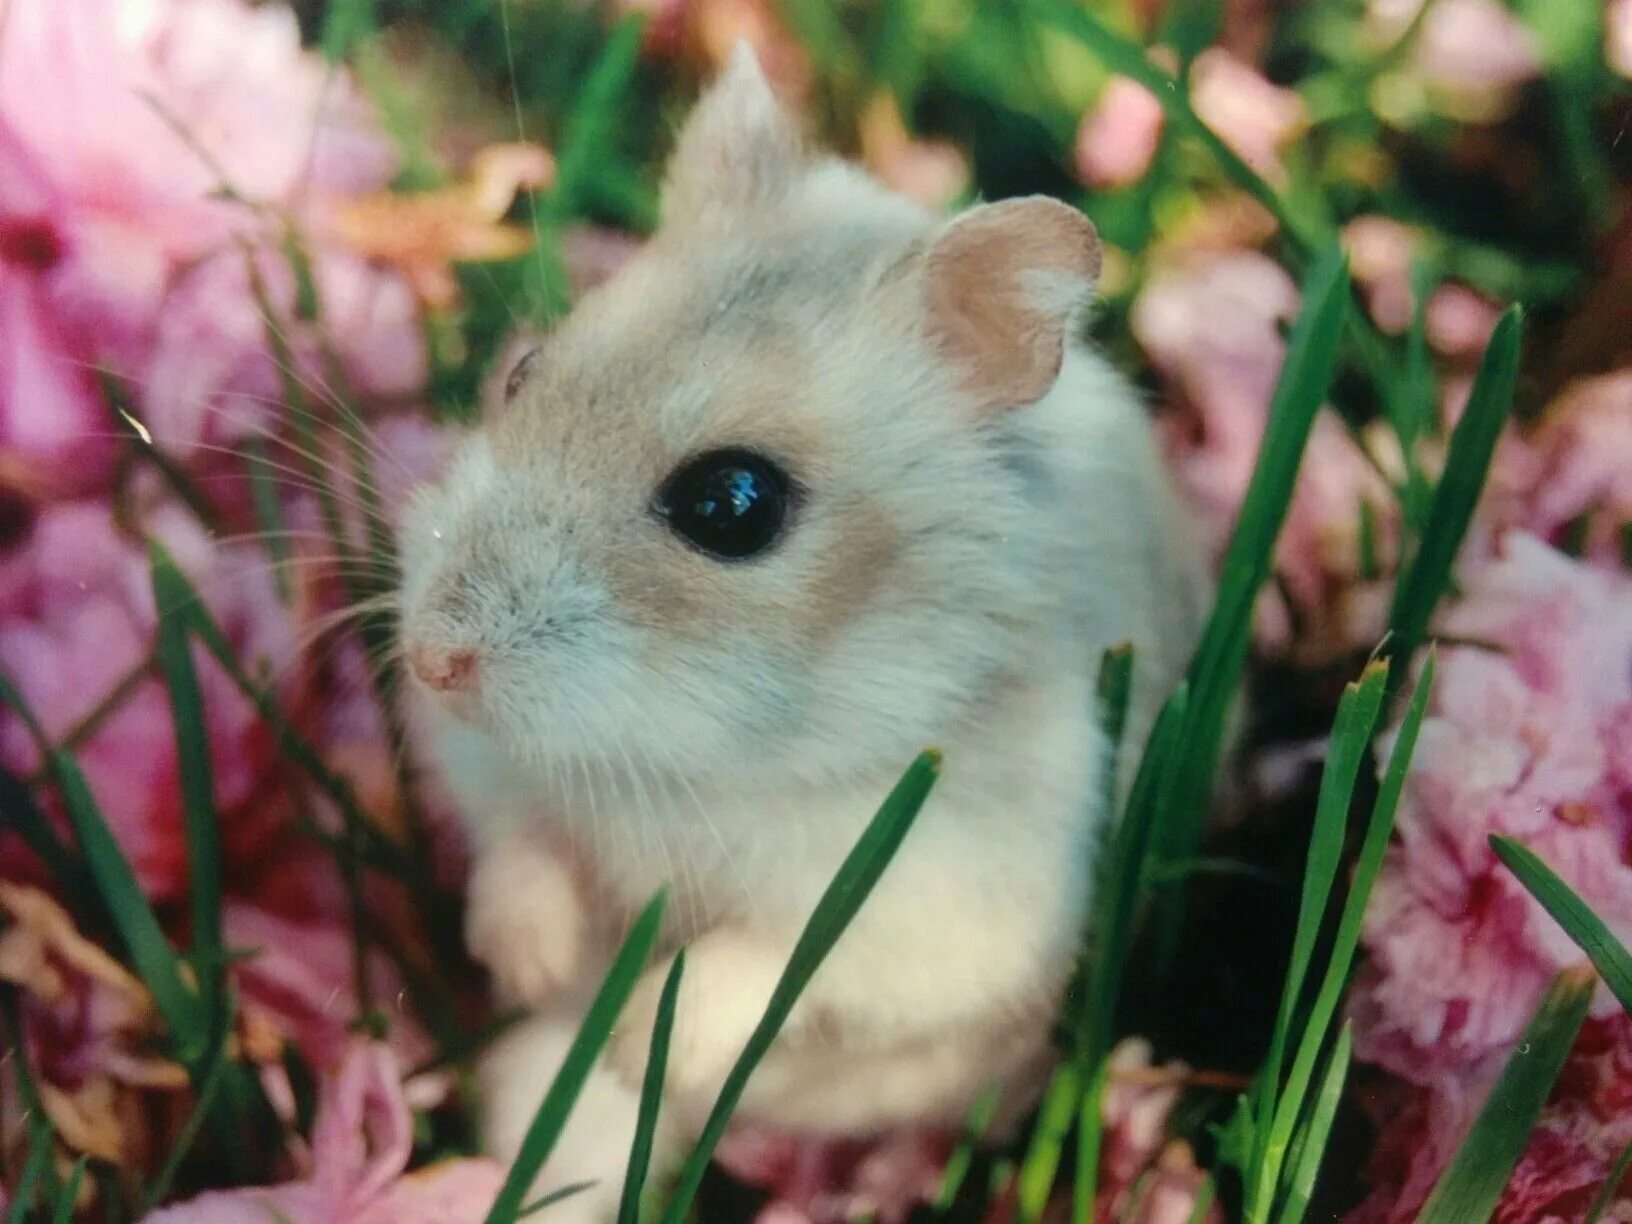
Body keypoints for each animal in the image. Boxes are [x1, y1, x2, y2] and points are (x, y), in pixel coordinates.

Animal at [396, 40, 1214, 1224]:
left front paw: (640, 1040)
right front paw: (532, 965)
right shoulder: (489, 763)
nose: (430, 659)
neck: (707, 758)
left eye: (732, 504)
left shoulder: (946, 900)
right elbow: (516, 838)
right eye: (521, 374)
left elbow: (770, 961)